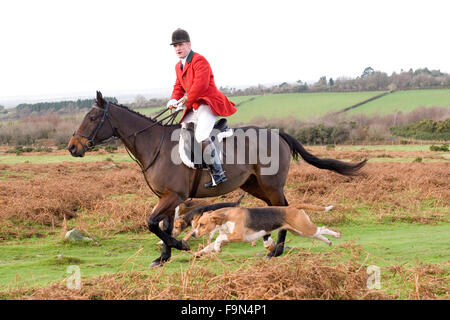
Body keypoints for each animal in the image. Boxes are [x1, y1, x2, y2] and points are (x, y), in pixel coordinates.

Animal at [68, 91, 368, 266]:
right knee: (277, 208)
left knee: (283, 207)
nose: (73, 147)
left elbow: (153, 223)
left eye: (92, 117)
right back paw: (269, 243)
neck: (155, 145)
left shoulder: (173, 196)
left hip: (271, 185)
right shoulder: (167, 197)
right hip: (255, 185)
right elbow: (164, 226)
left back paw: (276, 251)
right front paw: (163, 257)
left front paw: (181, 245)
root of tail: (278, 133)